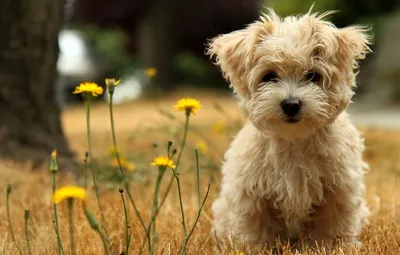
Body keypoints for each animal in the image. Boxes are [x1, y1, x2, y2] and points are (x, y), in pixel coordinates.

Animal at [206, 7, 372, 251]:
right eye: (269, 76)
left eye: (312, 76)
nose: (291, 104)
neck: (294, 140)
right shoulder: (251, 194)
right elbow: (256, 230)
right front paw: (258, 249)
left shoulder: (339, 190)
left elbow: (330, 228)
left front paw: (327, 248)